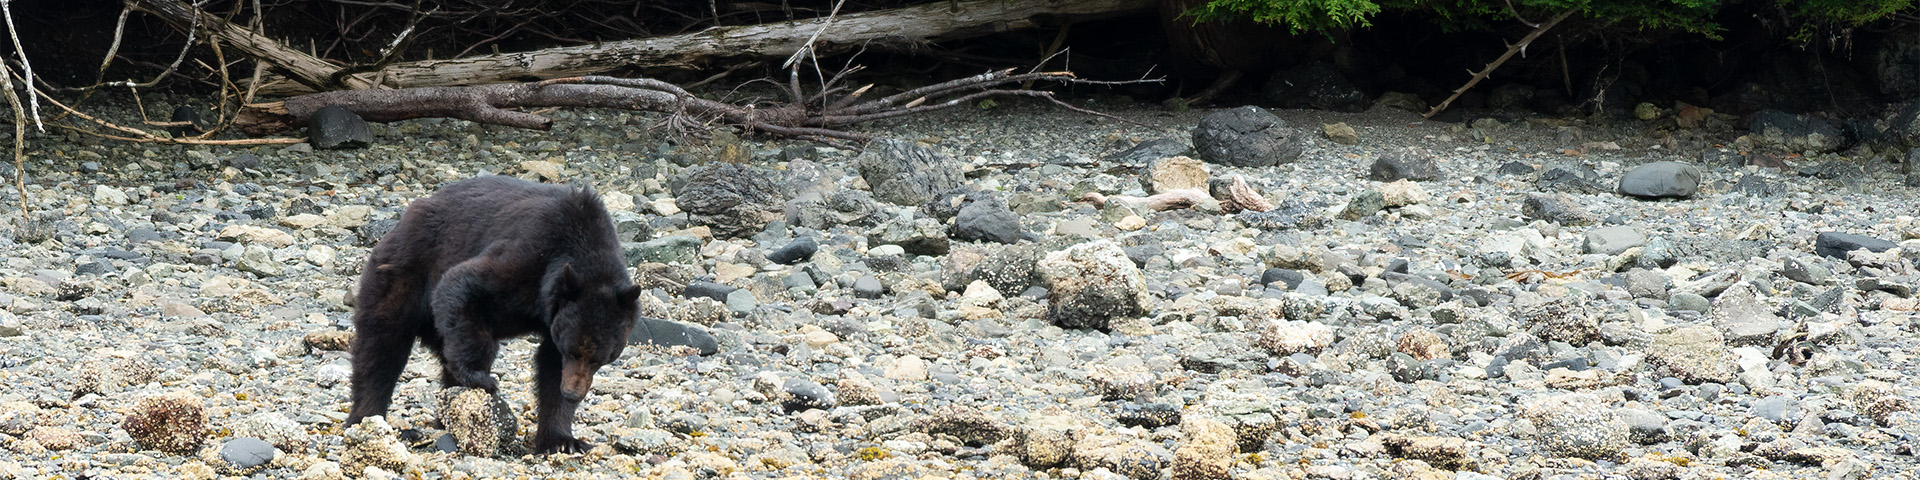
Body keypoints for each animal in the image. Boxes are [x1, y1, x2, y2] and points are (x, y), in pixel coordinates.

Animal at [344, 175, 642, 454]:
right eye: (572, 351)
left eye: (603, 358)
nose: (572, 393)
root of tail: (404, 218)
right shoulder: (529, 256)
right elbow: (462, 285)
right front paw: (480, 377)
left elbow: (550, 366)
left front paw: (563, 441)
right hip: (404, 269)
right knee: (382, 342)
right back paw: (369, 417)